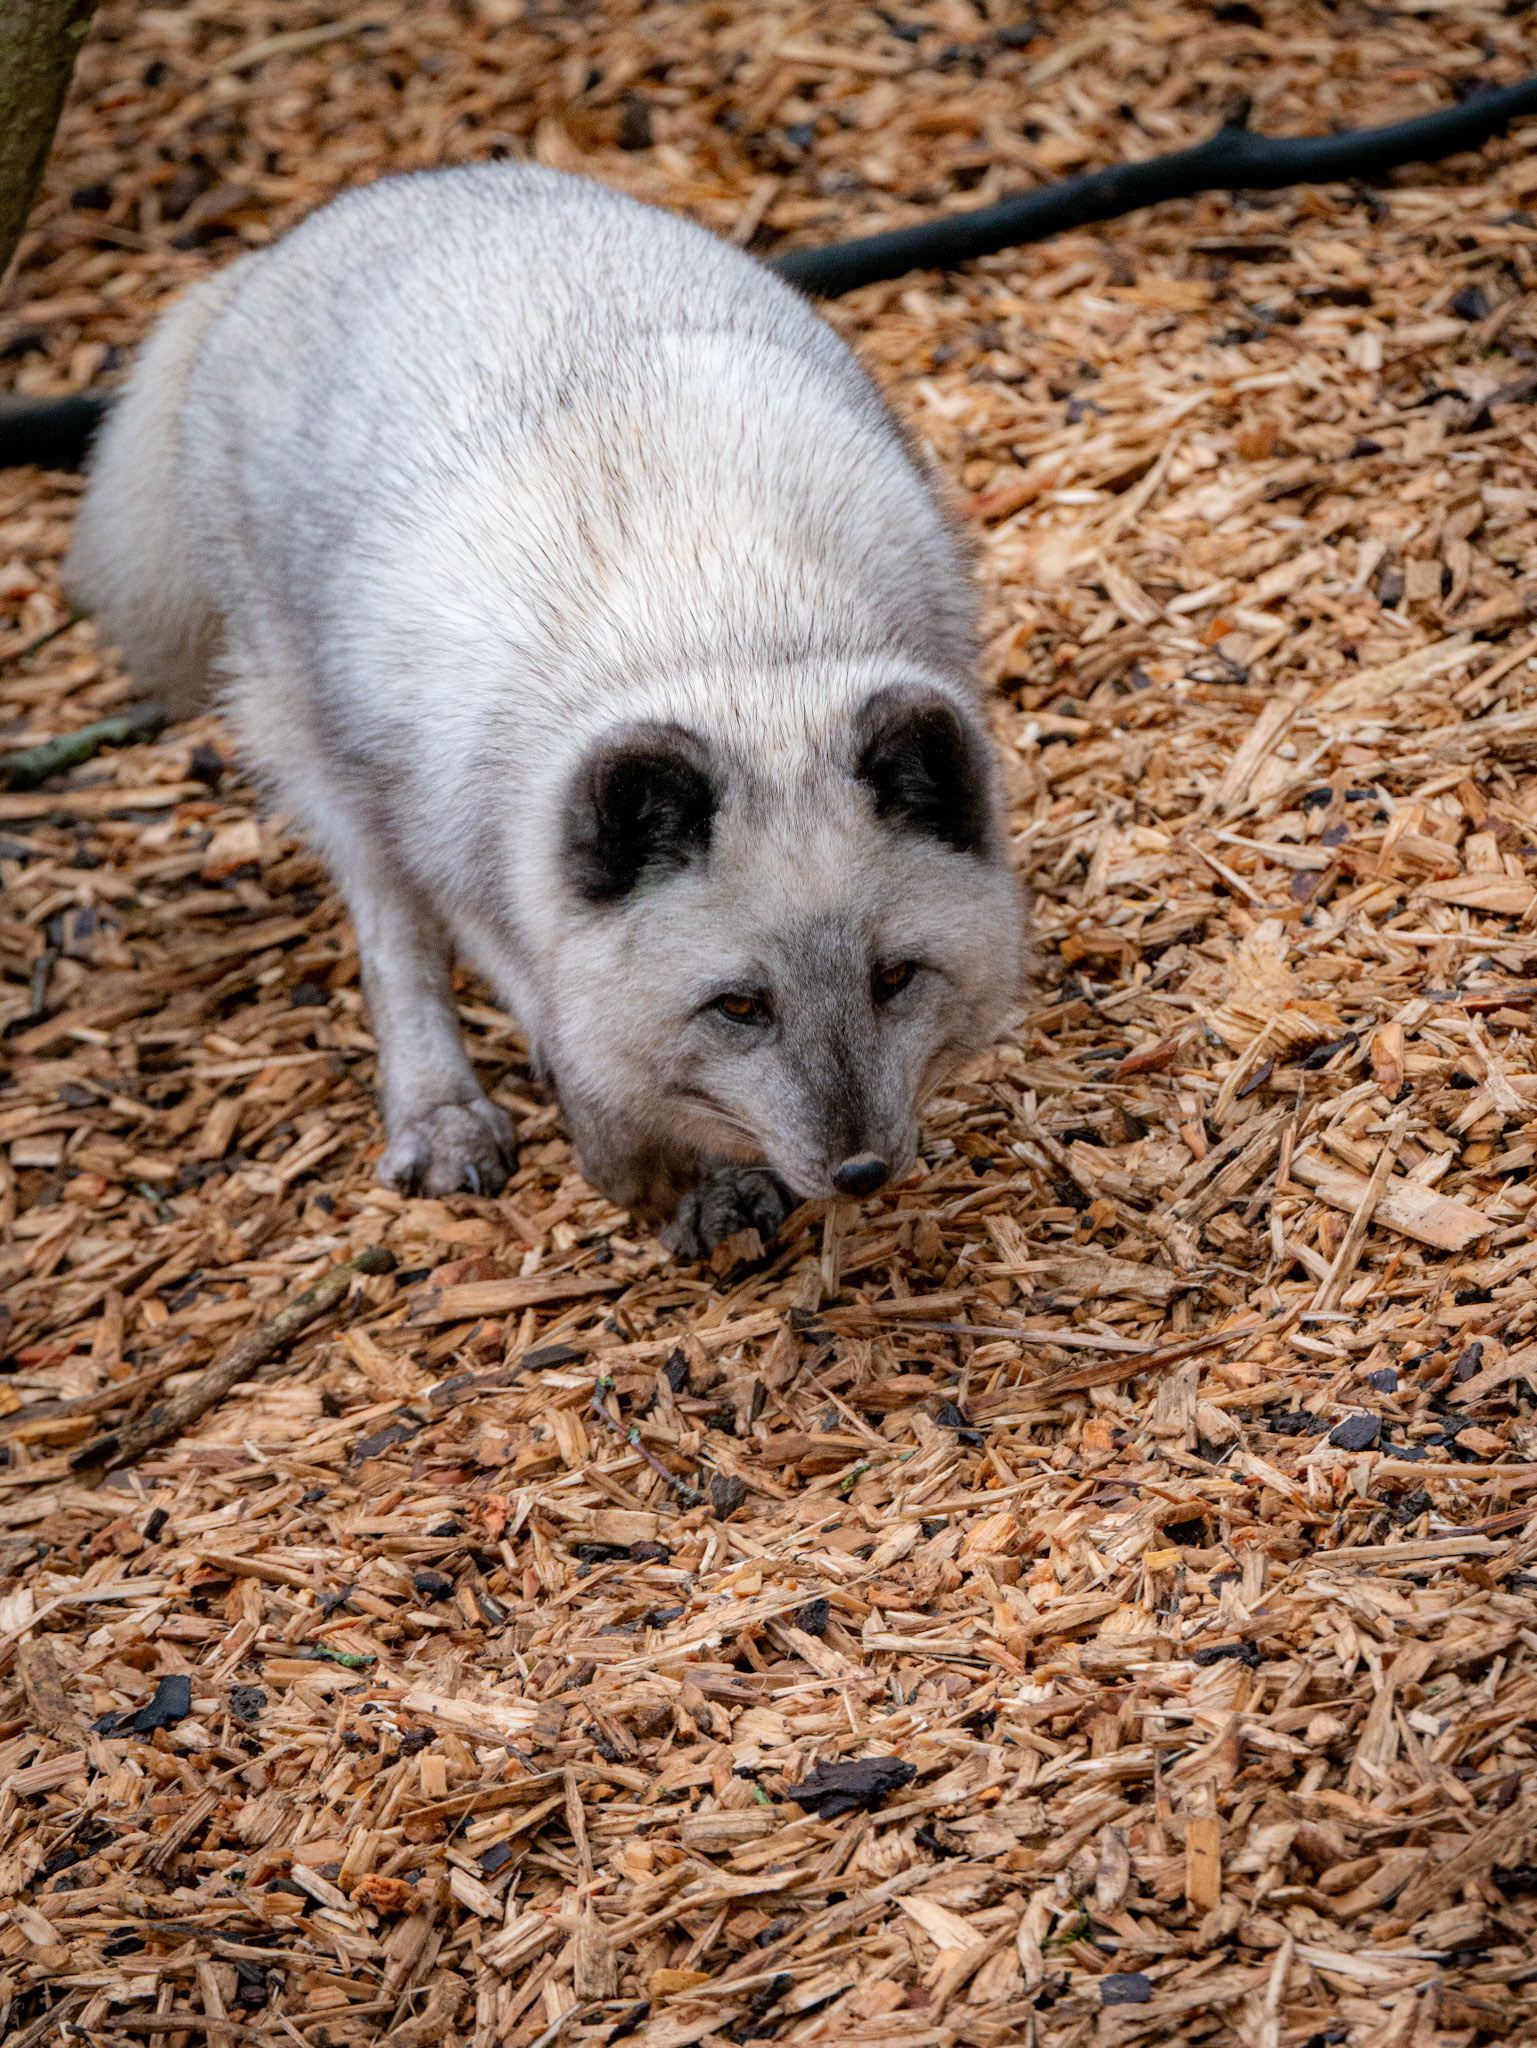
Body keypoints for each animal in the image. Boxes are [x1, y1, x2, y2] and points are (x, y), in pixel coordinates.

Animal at [67, 163, 1025, 1257]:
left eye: (894, 977)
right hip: (324, 760)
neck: (716, 638)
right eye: (738, 1006)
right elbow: (570, 1030)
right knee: (390, 939)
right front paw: (650, 1169)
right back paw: (440, 1113)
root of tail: (283, 245)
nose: (861, 1171)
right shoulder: (478, 874)